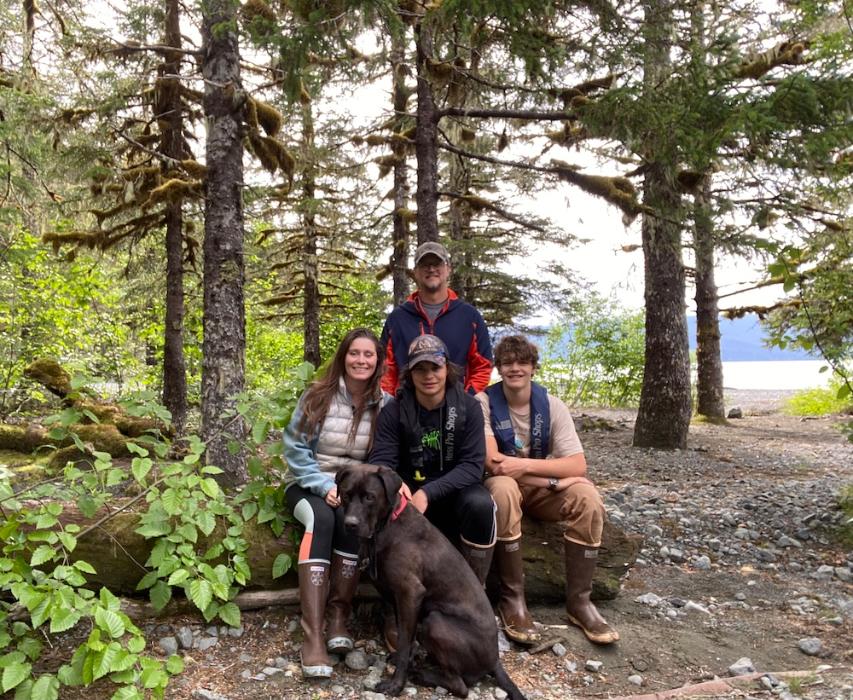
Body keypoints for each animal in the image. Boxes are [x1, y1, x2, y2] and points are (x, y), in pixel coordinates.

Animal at [335, 463, 526, 700]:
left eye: (370, 497)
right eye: (345, 494)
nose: (350, 524)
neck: (387, 525)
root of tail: (495, 660)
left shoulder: (410, 593)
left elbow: (404, 643)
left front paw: (396, 684)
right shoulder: (400, 600)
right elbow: (404, 640)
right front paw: (404, 661)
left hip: (435, 622)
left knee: (461, 686)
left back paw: (422, 675)